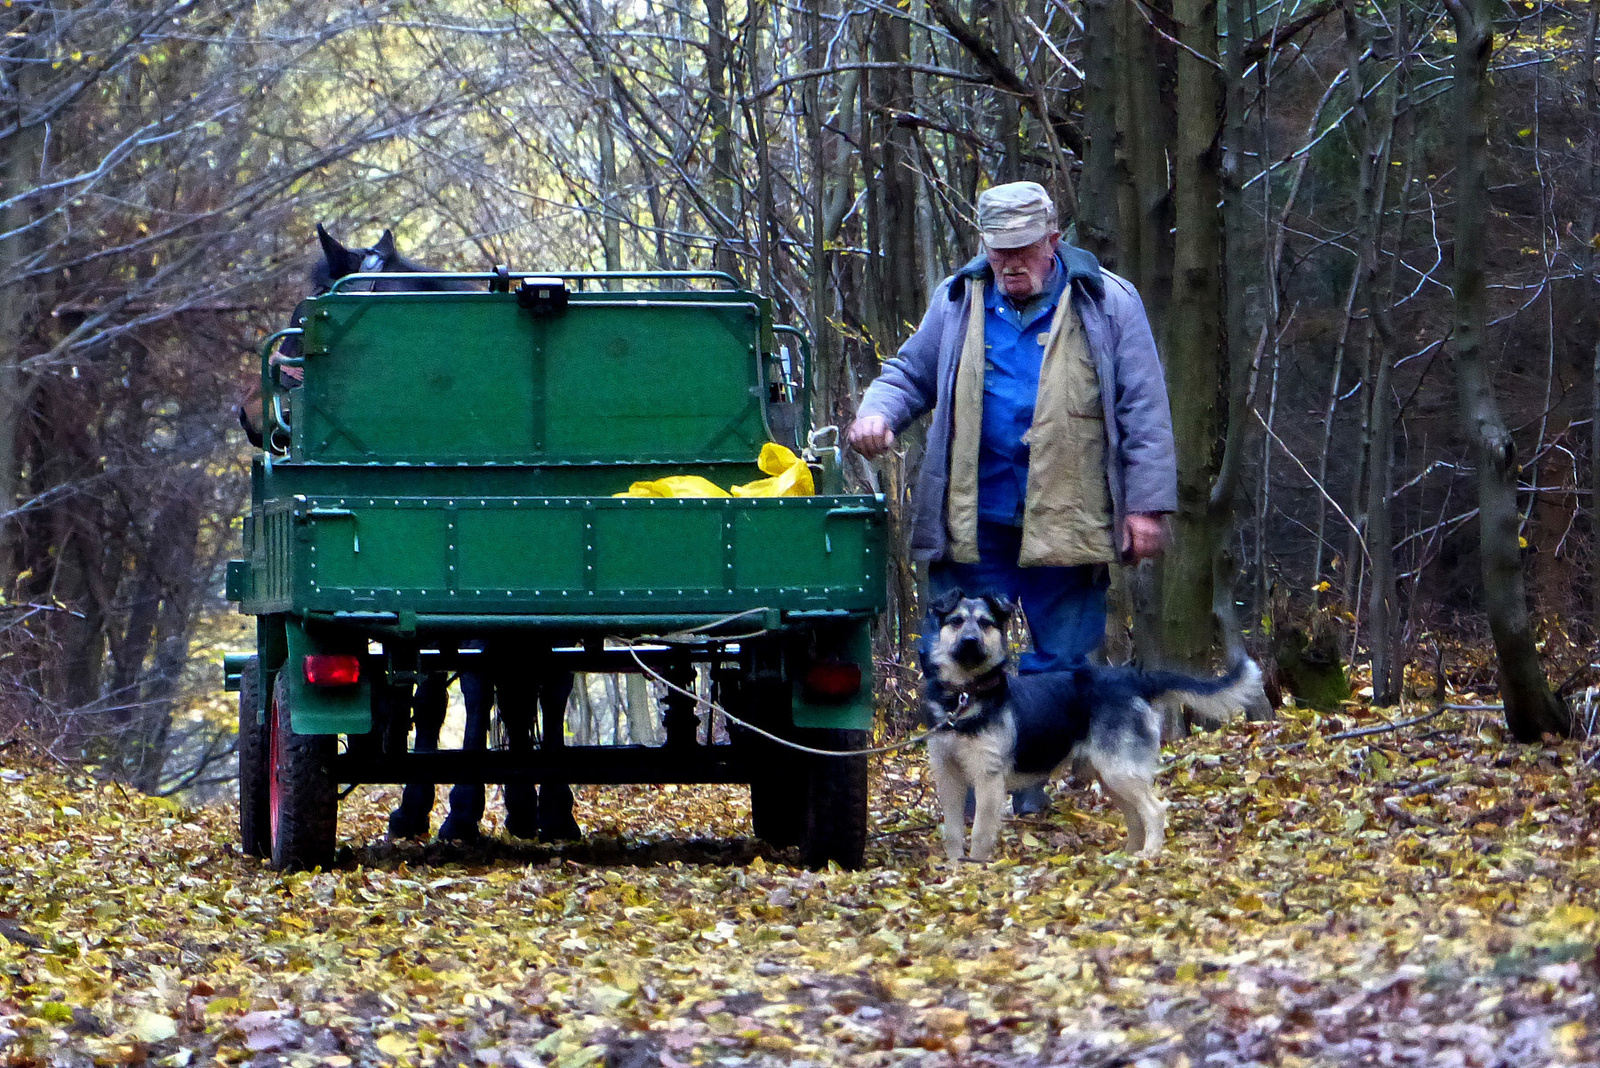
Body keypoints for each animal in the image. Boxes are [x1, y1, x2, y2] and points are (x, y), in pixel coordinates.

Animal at [259, 225, 585, 844]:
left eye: (301, 318)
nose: (268, 427)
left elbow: (480, 692)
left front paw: (459, 808)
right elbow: (443, 696)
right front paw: (431, 806)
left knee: (524, 688)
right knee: (526, 689)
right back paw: (531, 806)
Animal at [928, 588, 1260, 863]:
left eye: (985, 623)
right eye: (956, 621)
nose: (969, 642)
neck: (964, 696)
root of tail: (1134, 679)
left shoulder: (988, 778)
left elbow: (980, 833)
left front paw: (975, 869)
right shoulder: (948, 777)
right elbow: (953, 832)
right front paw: (955, 869)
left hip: (1119, 770)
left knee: (1155, 810)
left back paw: (1149, 854)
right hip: (1111, 775)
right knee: (1135, 818)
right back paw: (1126, 856)